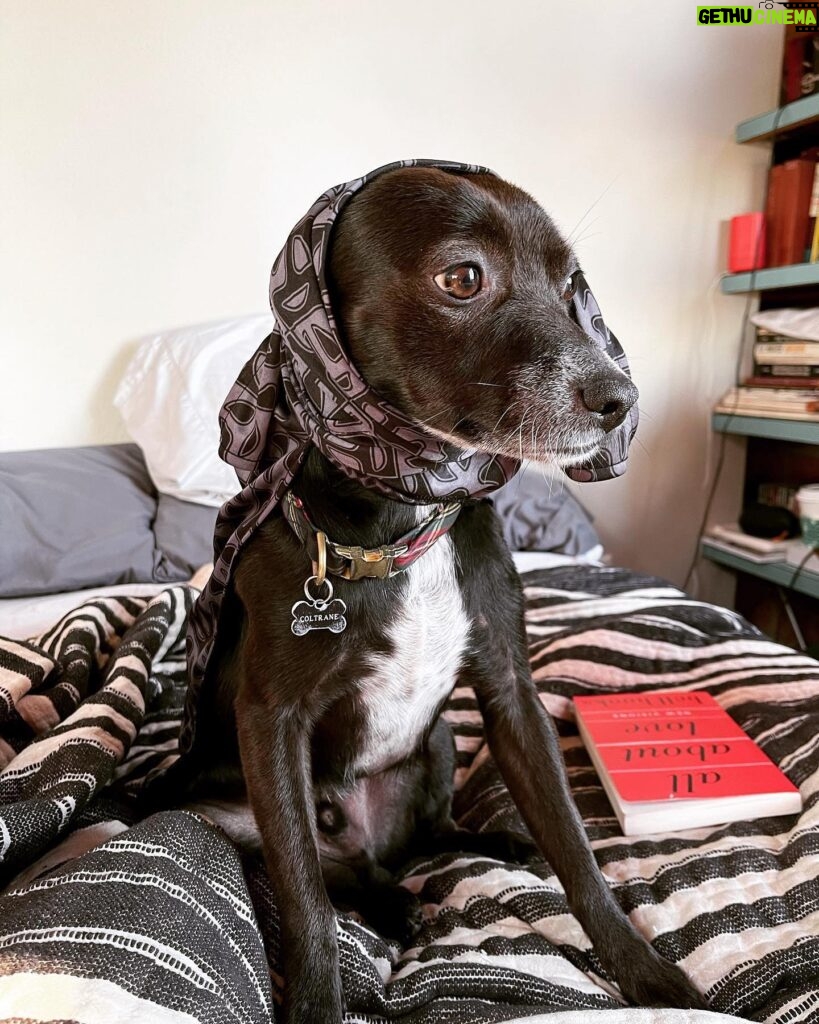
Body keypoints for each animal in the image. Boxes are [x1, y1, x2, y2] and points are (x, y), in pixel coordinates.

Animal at [167, 169, 704, 1024]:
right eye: (461, 279)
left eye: (571, 287)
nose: (619, 397)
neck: (408, 513)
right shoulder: (268, 722)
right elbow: (305, 900)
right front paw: (316, 1004)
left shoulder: (511, 693)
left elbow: (577, 851)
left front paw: (645, 974)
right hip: (222, 806)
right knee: (333, 869)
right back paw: (391, 904)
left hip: (442, 741)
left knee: (431, 834)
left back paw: (493, 845)